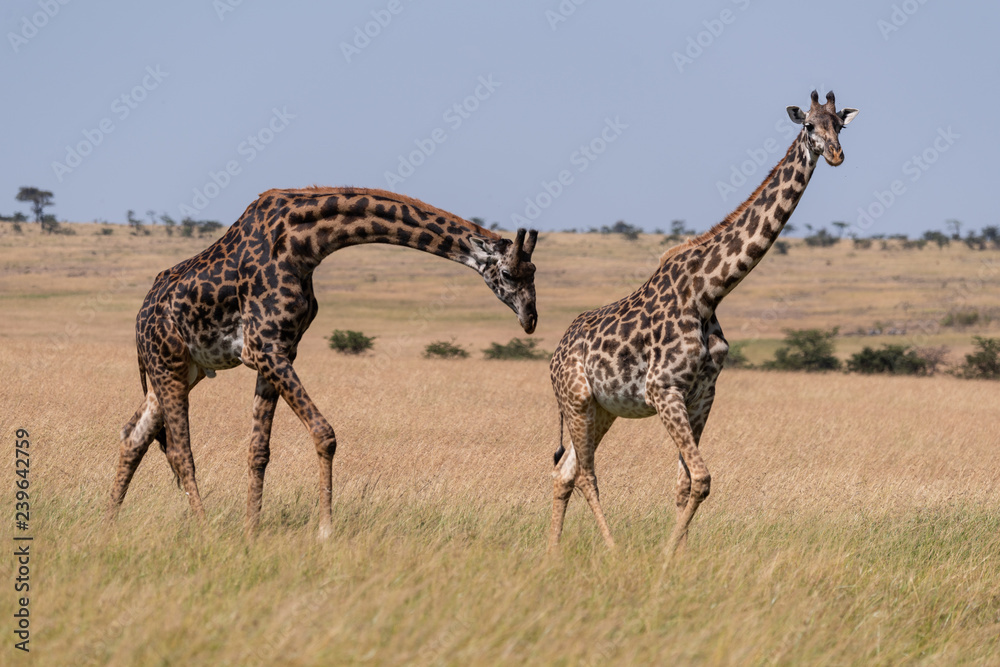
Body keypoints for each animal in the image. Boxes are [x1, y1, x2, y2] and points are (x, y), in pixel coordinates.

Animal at [109, 186, 539, 539]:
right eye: (506, 272)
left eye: (534, 271)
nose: (530, 319)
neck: (306, 245)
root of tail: (139, 317)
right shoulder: (265, 348)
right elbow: (324, 432)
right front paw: (325, 530)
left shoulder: (279, 351)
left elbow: (258, 451)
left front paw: (252, 531)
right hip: (166, 364)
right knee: (180, 450)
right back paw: (202, 529)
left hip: (186, 369)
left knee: (134, 434)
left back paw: (108, 522)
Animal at [547, 91, 858, 554]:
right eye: (808, 126)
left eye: (840, 124)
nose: (836, 154)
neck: (708, 292)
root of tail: (554, 354)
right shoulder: (664, 389)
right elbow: (703, 478)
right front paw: (664, 556)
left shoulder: (703, 394)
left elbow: (687, 484)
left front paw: (677, 556)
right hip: (577, 399)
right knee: (586, 473)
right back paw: (612, 548)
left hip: (603, 409)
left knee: (564, 472)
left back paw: (550, 553)